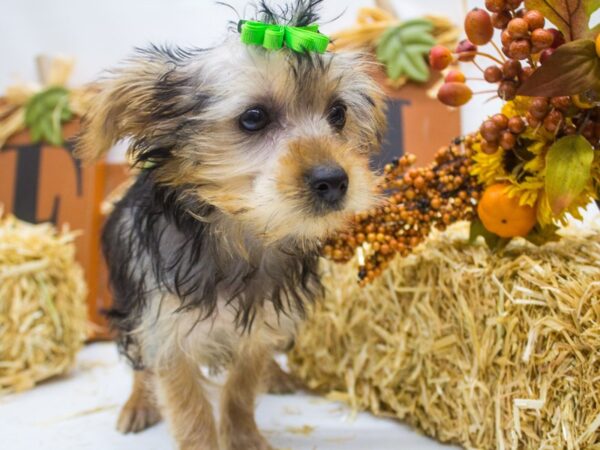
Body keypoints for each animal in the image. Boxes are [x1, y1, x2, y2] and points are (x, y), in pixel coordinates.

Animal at [76, 1, 384, 448]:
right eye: (253, 117)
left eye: (338, 113)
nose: (334, 180)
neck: (240, 235)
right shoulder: (166, 332)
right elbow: (189, 409)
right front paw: (203, 437)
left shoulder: (261, 325)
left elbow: (241, 387)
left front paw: (243, 435)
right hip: (129, 301)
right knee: (138, 361)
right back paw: (138, 402)